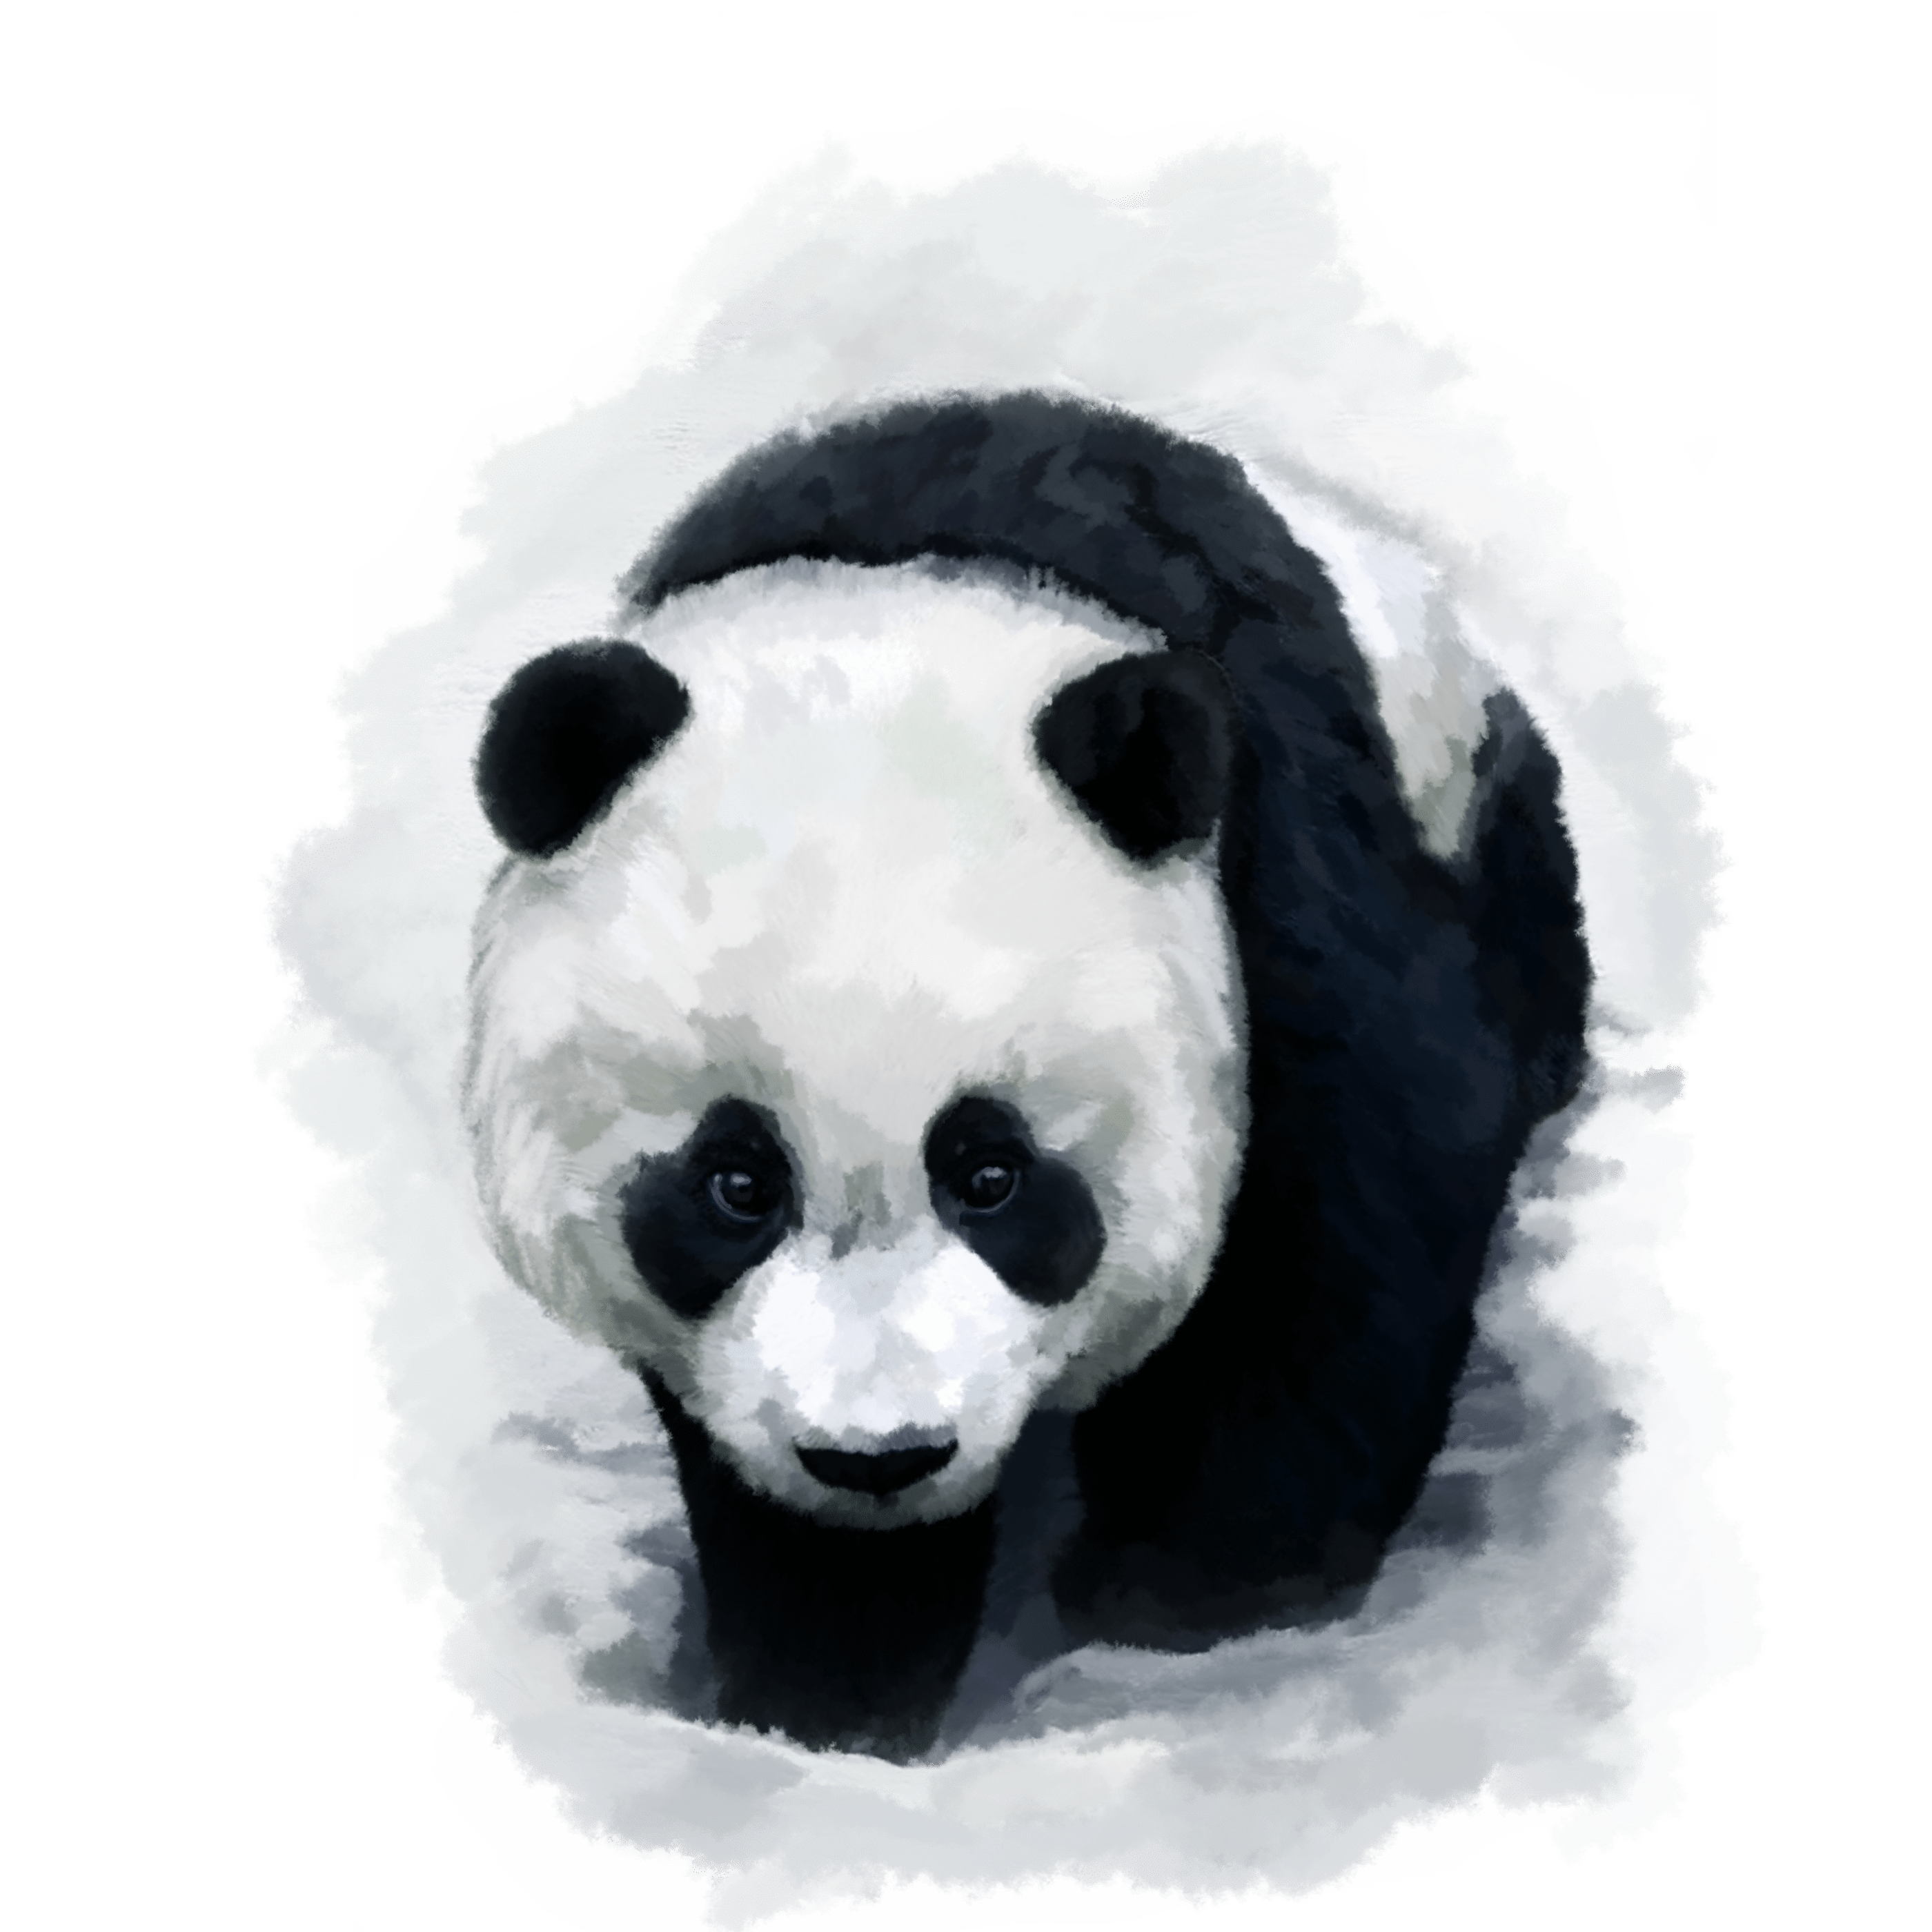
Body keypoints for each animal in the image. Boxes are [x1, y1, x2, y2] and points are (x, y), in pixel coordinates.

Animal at [463, 394, 1590, 1763]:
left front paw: (1189, 1607)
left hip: (1479, 791)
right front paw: (825, 1686)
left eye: (992, 1175)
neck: (899, 597)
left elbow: (1343, 1241)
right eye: (734, 1185)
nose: (879, 1459)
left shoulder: (1285, 879)